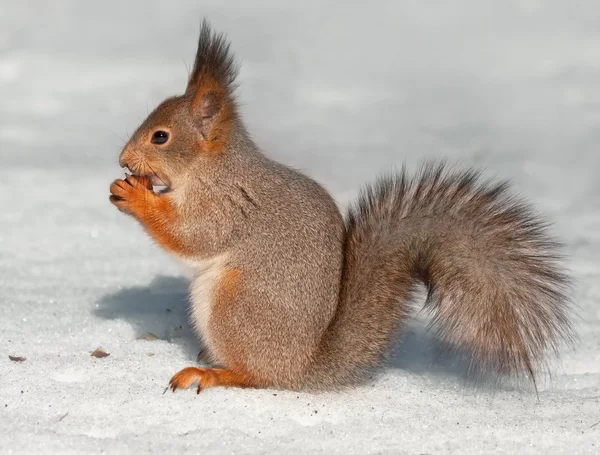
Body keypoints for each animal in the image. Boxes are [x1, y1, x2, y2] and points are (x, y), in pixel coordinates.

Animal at [110, 19, 576, 394]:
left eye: (160, 137)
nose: (122, 159)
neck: (211, 167)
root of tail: (303, 367)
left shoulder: (229, 205)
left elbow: (193, 236)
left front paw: (134, 196)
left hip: (234, 305)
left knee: (258, 375)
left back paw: (215, 373)